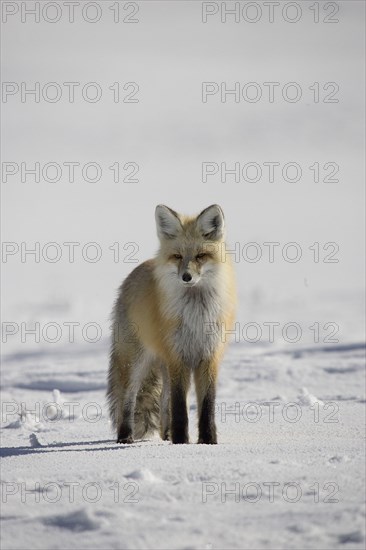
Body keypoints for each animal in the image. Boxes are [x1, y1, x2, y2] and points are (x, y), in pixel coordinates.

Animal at [107, 205, 236, 446]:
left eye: (200, 256)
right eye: (177, 256)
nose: (186, 277)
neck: (196, 315)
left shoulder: (209, 356)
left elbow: (207, 405)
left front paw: (208, 442)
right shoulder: (178, 356)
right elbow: (180, 407)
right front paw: (182, 442)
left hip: (163, 365)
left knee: (163, 400)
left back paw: (166, 436)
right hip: (136, 361)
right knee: (127, 399)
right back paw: (125, 436)